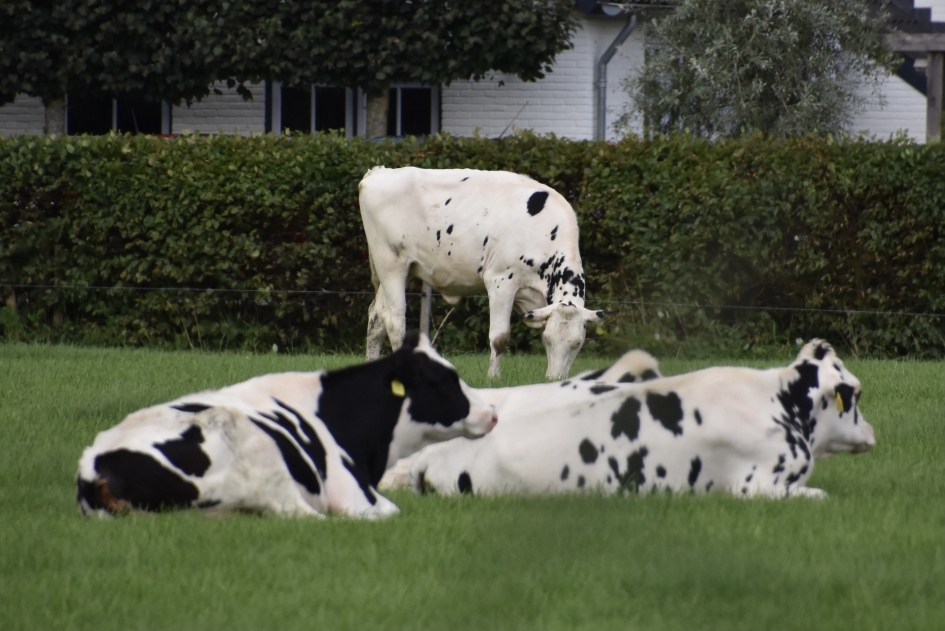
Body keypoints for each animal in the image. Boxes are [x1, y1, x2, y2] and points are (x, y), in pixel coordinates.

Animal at [76, 333, 497, 519]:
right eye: (444, 382)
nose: (492, 411)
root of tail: (95, 467)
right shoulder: (353, 495)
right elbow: (389, 511)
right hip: (260, 459)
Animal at [359, 166, 603, 380]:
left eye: (577, 343)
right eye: (548, 340)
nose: (555, 379)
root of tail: (379, 172)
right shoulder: (501, 281)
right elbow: (499, 338)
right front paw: (493, 378)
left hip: (400, 270)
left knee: (376, 317)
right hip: (392, 264)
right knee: (394, 321)